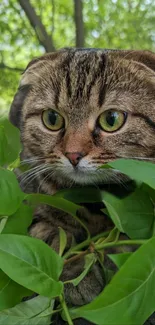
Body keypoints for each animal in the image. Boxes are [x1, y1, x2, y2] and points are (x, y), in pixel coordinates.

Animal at [8, 48, 155, 324]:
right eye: (52, 118)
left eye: (111, 119)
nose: (73, 155)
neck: (90, 202)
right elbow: (47, 233)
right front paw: (76, 274)